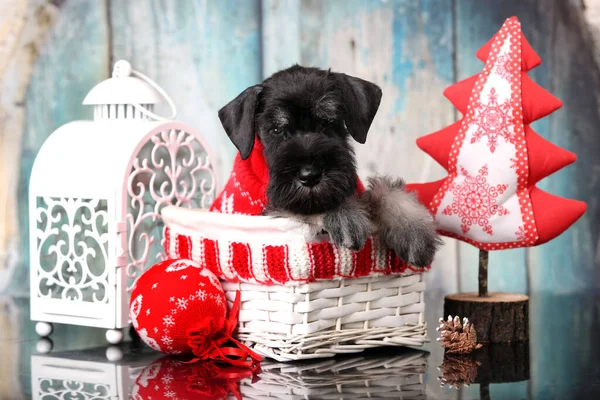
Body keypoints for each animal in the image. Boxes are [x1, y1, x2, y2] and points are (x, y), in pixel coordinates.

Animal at [217, 64, 440, 268]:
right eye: (276, 130)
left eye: (327, 122)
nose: (310, 175)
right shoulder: (272, 213)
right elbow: (308, 206)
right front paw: (345, 216)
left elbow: (385, 193)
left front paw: (414, 232)